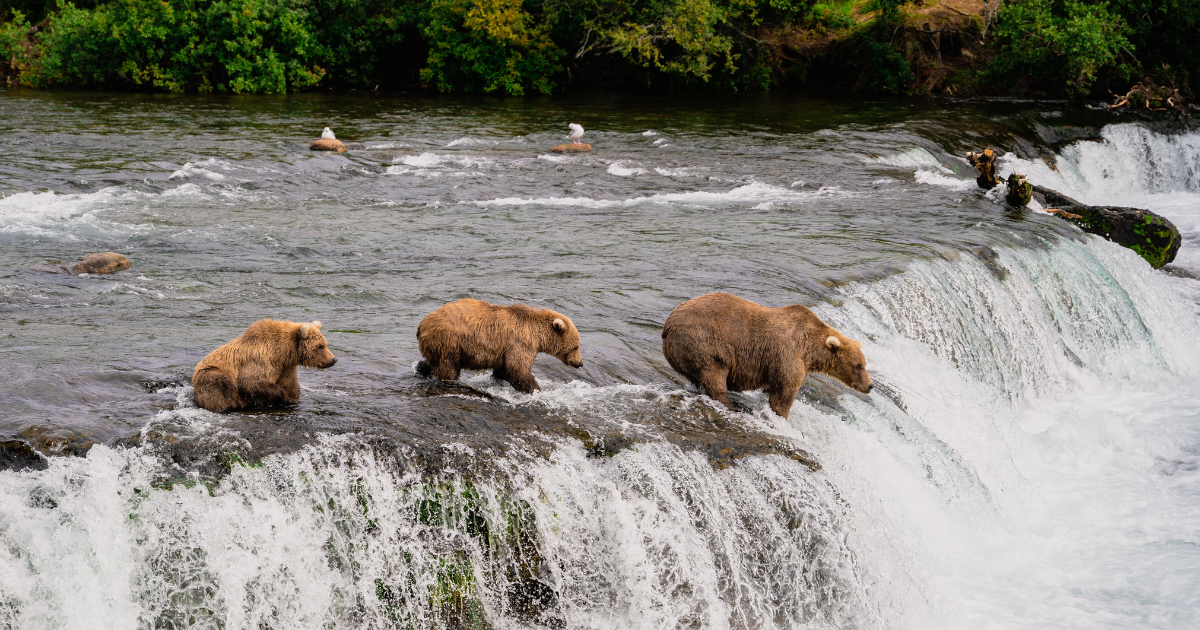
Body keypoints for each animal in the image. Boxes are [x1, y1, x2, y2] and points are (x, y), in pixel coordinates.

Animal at [192, 319, 336, 412]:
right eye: (320, 346)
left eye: (325, 344)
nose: (334, 359)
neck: (283, 352)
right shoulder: (262, 360)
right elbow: (252, 383)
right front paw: (281, 396)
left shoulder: (286, 367)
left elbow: (292, 386)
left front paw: (291, 399)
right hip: (212, 373)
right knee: (219, 387)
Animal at [415, 297, 583, 391]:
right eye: (575, 346)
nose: (580, 363)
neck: (537, 335)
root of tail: (422, 324)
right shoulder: (521, 344)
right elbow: (518, 370)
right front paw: (536, 389)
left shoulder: (505, 350)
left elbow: (504, 370)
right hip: (450, 342)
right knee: (448, 366)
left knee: (432, 362)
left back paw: (422, 369)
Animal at [662, 292, 878, 420]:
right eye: (858, 365)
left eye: (864, 364)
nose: (870, 385)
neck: (809, 350)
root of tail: (667, 325)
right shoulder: (787, 355)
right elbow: (783, 394)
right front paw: (782, 416)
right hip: (704, 342)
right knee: (713, 374)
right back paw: (733, 405)